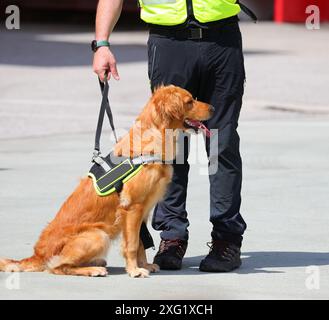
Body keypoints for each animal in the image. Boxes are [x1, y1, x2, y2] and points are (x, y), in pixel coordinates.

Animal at [0, 85, 213, 278]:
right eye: (189, 101)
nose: (213, 108)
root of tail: (37, 254)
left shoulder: (142, 212)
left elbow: (141, 243)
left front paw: (143, 265)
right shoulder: (132, 208)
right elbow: (133, 244)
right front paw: (134, 270)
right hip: (98, 234)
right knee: (57, 268)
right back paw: (92, 270)